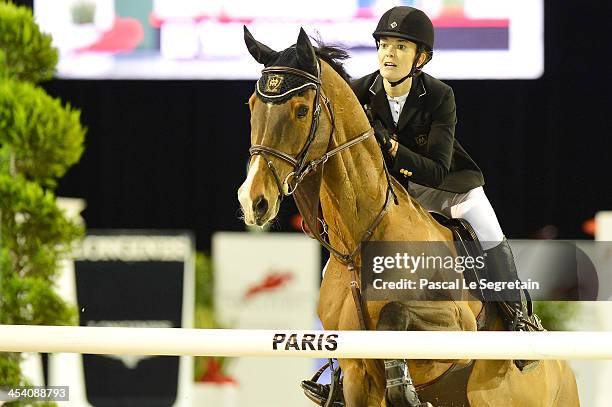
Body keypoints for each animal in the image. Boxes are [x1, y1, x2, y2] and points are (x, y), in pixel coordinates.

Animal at [238, 27, 580, 406]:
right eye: (252, 106)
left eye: (300, 111)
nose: (253, 201)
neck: (362, 243)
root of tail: (564, 370)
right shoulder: (356, 376)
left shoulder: (458, 324)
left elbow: (394, 312)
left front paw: (402, 384)